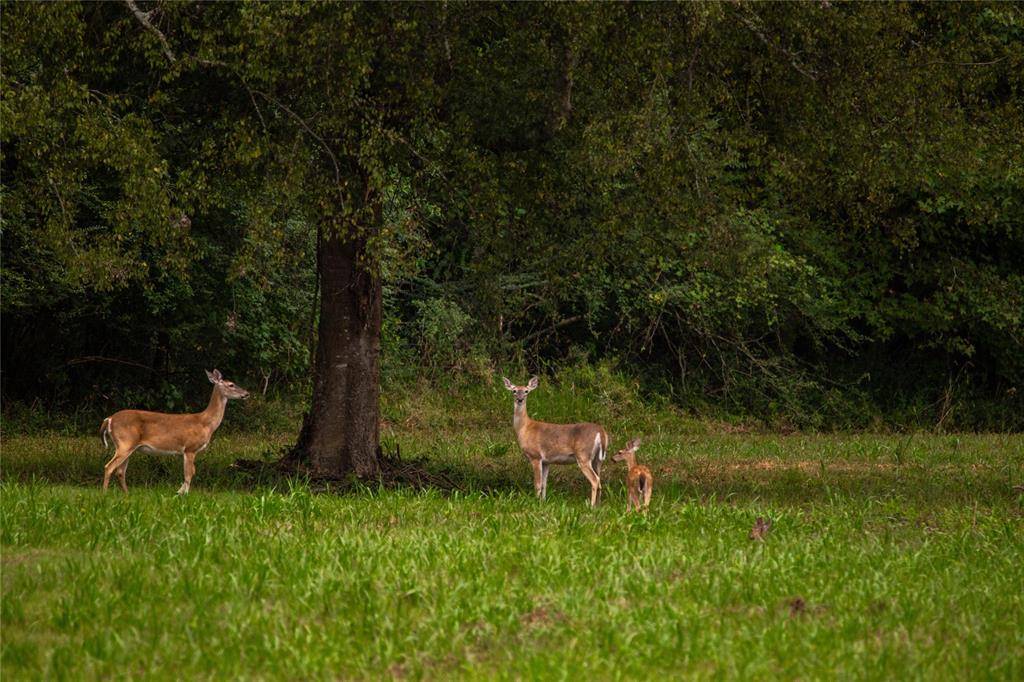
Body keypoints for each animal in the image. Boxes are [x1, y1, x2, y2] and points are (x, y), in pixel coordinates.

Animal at [98, 368, 249, 491]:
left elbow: (190, 473)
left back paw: (127, 494)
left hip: (129, 446)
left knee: (120, 471)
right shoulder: (190, 448)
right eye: (231, 384)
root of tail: (109, 419)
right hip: (125, 442)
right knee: (109, 467)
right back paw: (105, 494)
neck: (205, 423)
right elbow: (189, 474)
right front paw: (182, 495)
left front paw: (179, 493)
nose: (247, 393)